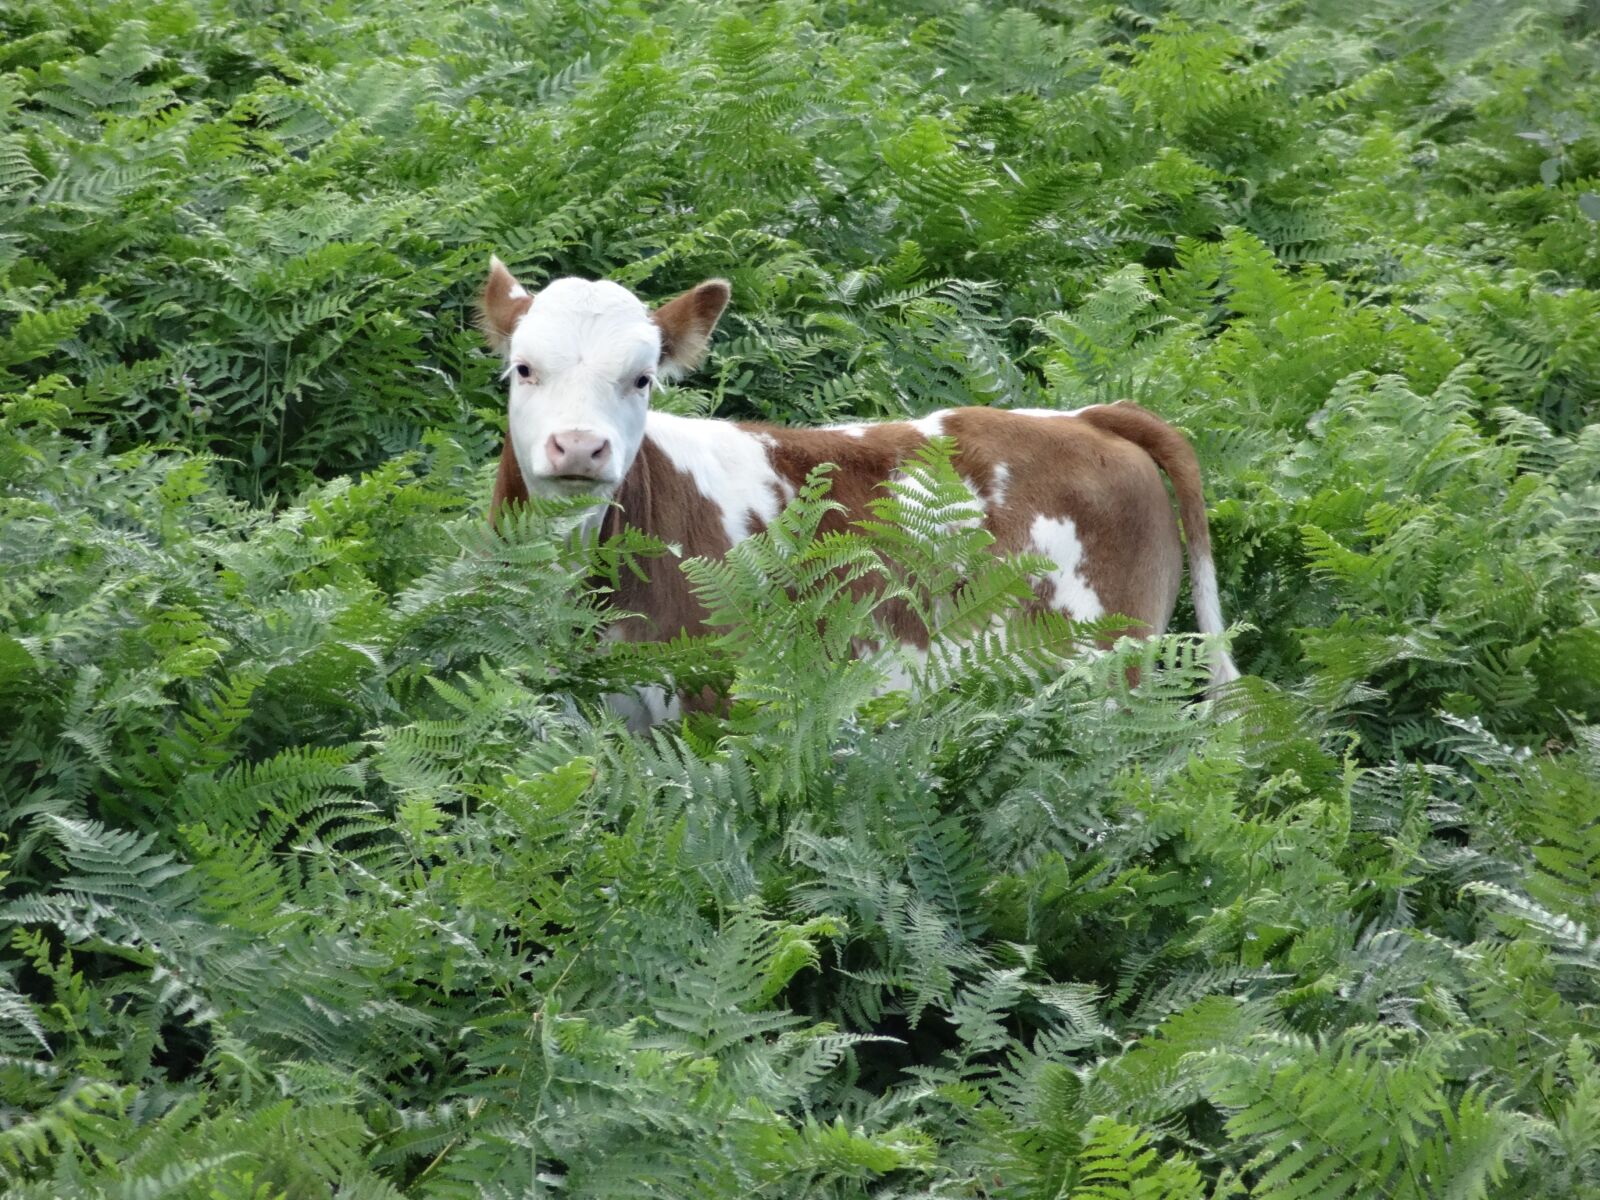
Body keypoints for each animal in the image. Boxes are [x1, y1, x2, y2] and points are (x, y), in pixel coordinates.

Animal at [478, 257, 1240, 720]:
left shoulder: (714, 702)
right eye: (523, 369)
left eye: (641, 379)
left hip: (1106, 671)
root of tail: (1089, 416)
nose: (580, 446)